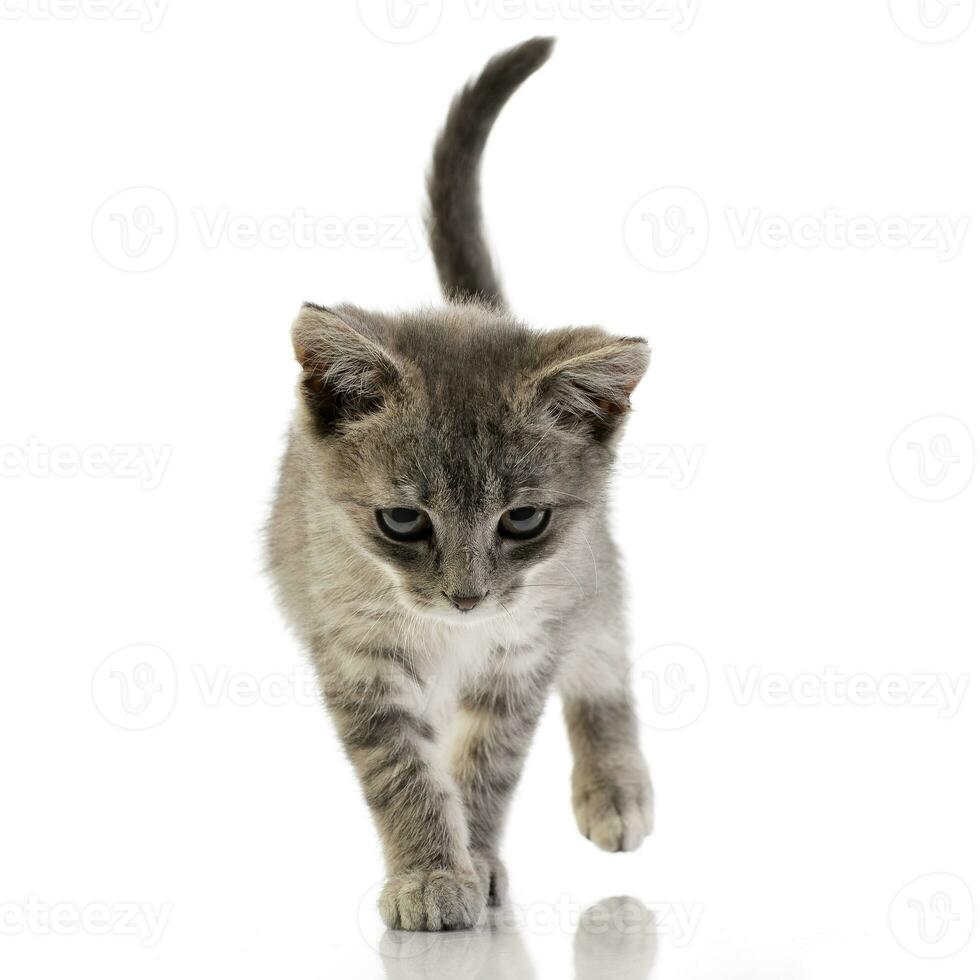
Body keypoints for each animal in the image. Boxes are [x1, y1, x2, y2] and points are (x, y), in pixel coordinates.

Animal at [264, 34, 656, 932]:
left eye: (524, 520)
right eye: (404, 521)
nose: (467, 598)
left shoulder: (523, 654)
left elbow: (486, 767)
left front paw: (472, 862)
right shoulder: (357, 658)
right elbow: (403, 771)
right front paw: (430, 872)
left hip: (591, 579)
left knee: (605, 662)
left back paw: (615, 786)